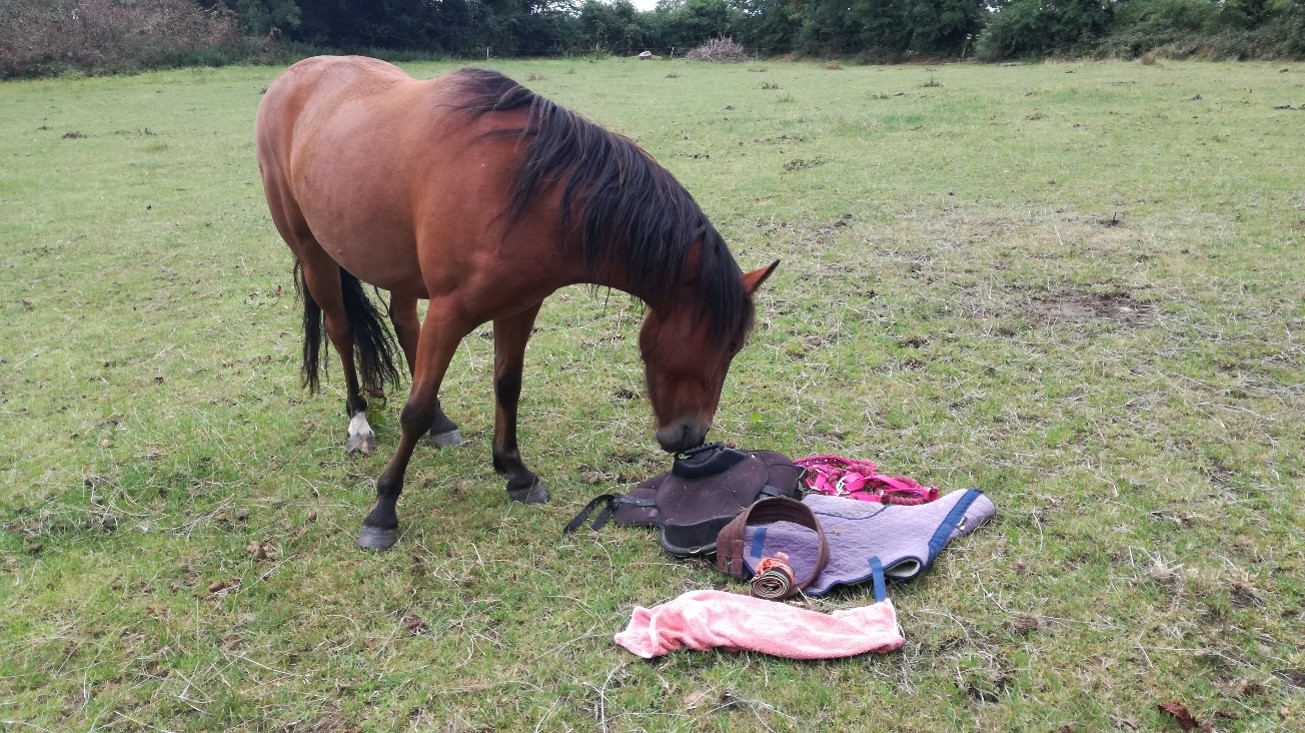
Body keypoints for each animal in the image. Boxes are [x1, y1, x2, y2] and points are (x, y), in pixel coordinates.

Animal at [254, 56, 777, 551]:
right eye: (730, 346)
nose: (693, 437)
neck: (527, 193)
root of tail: (292, 78)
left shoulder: (520, 307)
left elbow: (506, 386)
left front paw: (516, 472)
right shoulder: (449, 311)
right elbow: (413, 409)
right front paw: (382, 511)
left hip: (399, 269)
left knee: (403, 324)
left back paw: (441, 424)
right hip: (313, 253)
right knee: (342, 331)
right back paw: (359, 422)